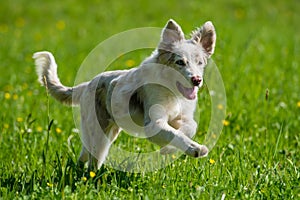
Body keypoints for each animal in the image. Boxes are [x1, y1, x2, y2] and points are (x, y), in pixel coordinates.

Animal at [33, 18, 216, 170]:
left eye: (200, 63)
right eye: (180, 62)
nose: (197, 80)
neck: (172, 90)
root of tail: (86, 85)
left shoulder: (180, 117)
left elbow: (190, 127)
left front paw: (169, 149)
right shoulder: (153, 124)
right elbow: (175, 134)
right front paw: (196, 149)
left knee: (84, 155)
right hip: (99, 134)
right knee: (93, 162)